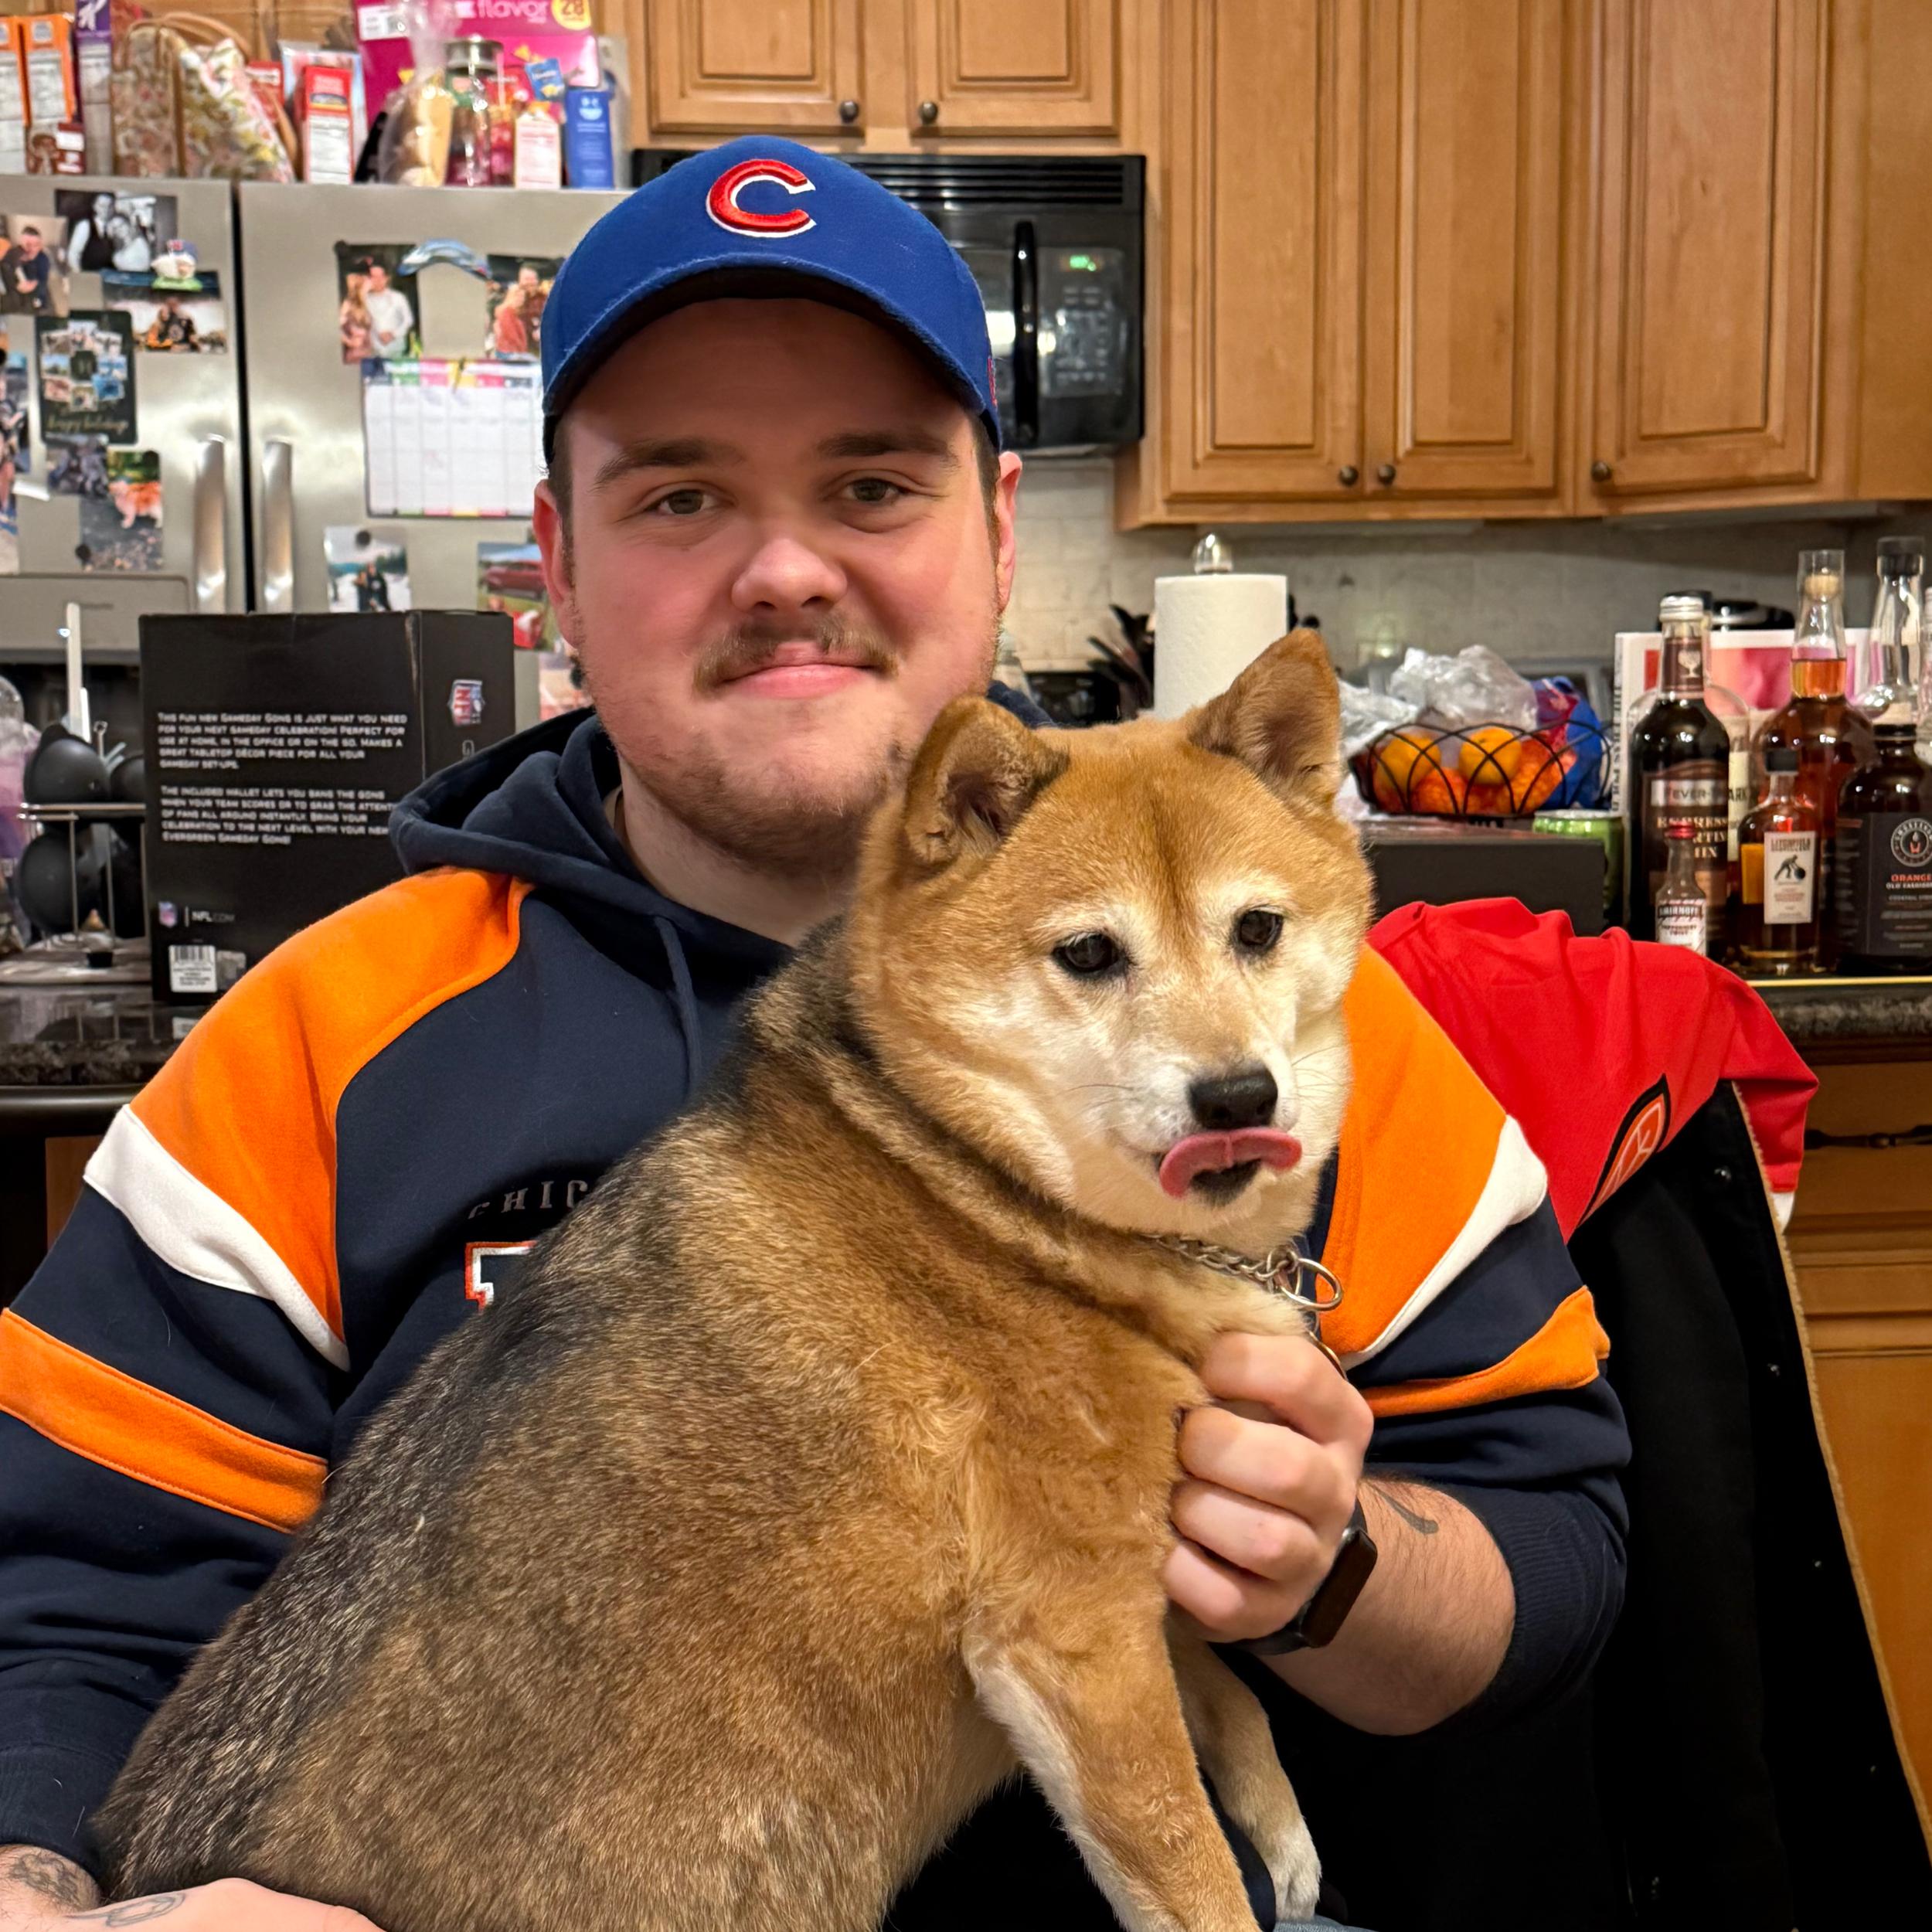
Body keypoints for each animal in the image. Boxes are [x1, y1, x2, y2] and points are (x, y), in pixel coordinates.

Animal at [96, 630, 1373, 1932]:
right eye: (1089, 955)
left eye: (1257, 930)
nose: (1238, 1096)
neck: (971, 1182)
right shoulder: (1070, 1631)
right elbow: (1188, 1858)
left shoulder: (1130, 1582)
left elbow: (1226, 1681)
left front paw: (1279, 1819)